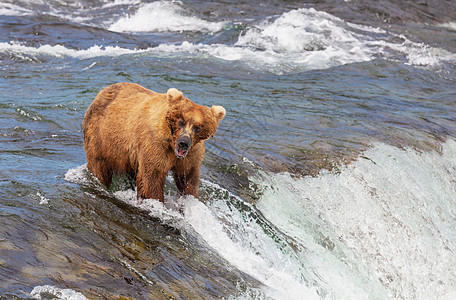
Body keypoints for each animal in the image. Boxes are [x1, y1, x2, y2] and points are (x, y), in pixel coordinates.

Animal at [83, 82, 225, 202]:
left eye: (198, 127)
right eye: (181, 121)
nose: (183, 143)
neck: (171, 143)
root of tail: (102, 91)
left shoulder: (191, 155)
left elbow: (188, 178)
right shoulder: (154, 145)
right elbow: (152, 177)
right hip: (101, 138)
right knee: (99, 166)